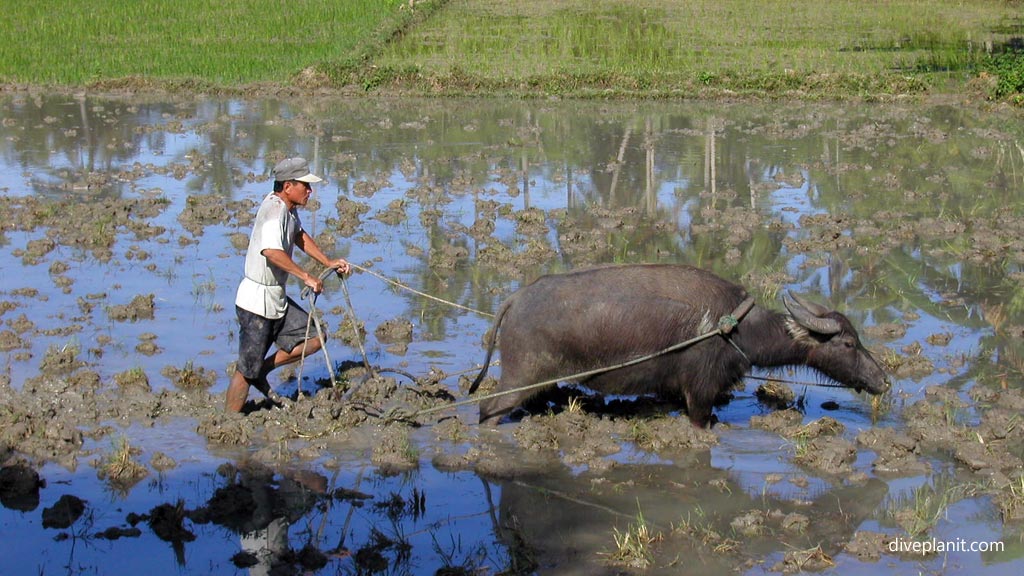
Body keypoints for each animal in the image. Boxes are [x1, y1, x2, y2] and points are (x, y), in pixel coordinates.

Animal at [468, 262, 888, 424]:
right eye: (848, 344)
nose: (884, 380)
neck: (734, 328)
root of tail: (516, 299)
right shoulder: (700, 394)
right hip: (521, 375)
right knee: (488, 410)